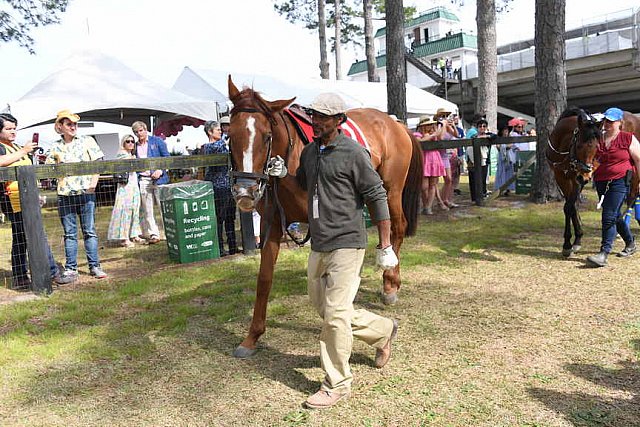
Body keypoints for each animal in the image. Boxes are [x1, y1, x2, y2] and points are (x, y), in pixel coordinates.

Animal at [228, 76, 422, 358]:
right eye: (230, 135)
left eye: (267, 136)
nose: (245, 192)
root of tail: (396, 124)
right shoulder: (271, 223)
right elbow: (264, 279)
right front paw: (252, 337)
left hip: (391, 189)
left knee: (396, 227)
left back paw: (390, 284)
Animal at [548, 108, 604, 260]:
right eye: (578, 146)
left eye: (597, 147)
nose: (585, 177)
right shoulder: (560, 176)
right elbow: (570, 207)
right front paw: (571, 242)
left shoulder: (576, 179)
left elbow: (570, 206)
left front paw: (570, 243)